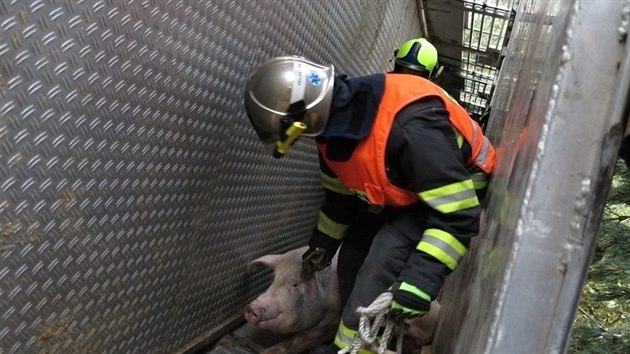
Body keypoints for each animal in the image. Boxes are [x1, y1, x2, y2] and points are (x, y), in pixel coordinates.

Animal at [244, 248, 442, 354]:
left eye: (295, 284)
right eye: (274, 279)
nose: (251, 308)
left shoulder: (331, 320)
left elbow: (298, 340)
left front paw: (267, 352)